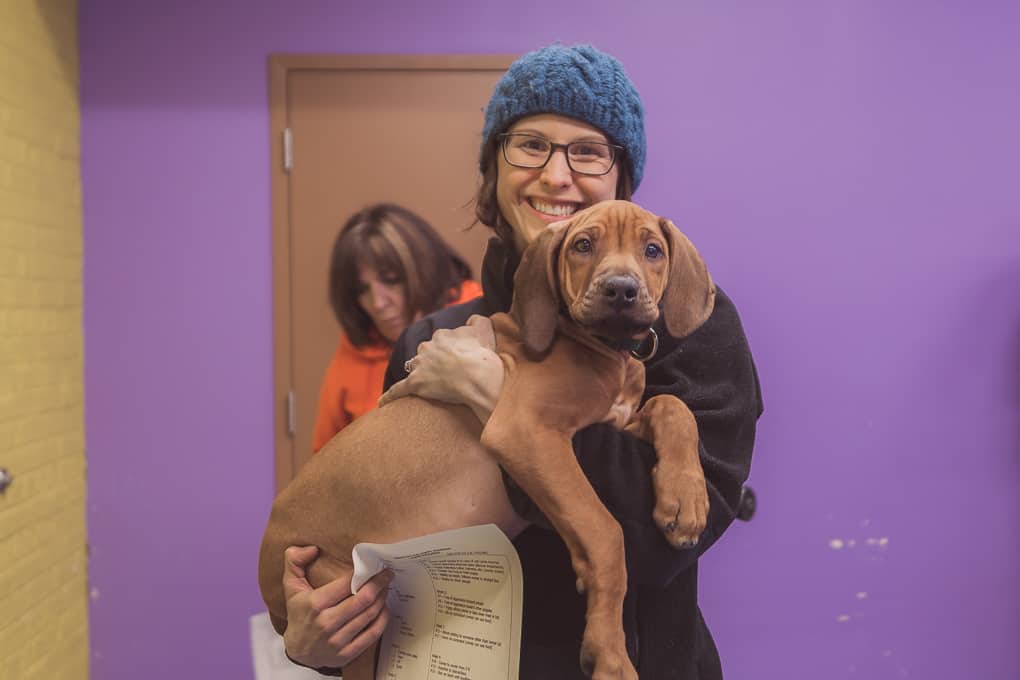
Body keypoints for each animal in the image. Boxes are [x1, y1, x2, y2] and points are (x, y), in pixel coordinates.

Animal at [259, 200, 714, 680]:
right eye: (583, 245)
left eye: (652, 250)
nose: (621, 290)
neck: (605, 350)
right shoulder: (524, 429)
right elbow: (606, 530)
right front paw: (609, 653)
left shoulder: (613, 422)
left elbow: (673, 407)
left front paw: (686, 501)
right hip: (346, 594)